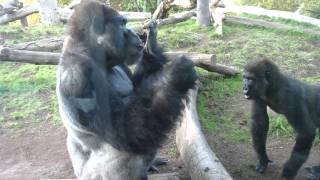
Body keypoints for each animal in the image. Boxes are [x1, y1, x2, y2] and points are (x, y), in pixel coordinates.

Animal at [57, 0, 198, 179]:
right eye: (122, 24)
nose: (132, 31)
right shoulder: (79, 77)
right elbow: (126, 132)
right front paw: (177, 75)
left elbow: (140, 91)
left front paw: (151, 46)